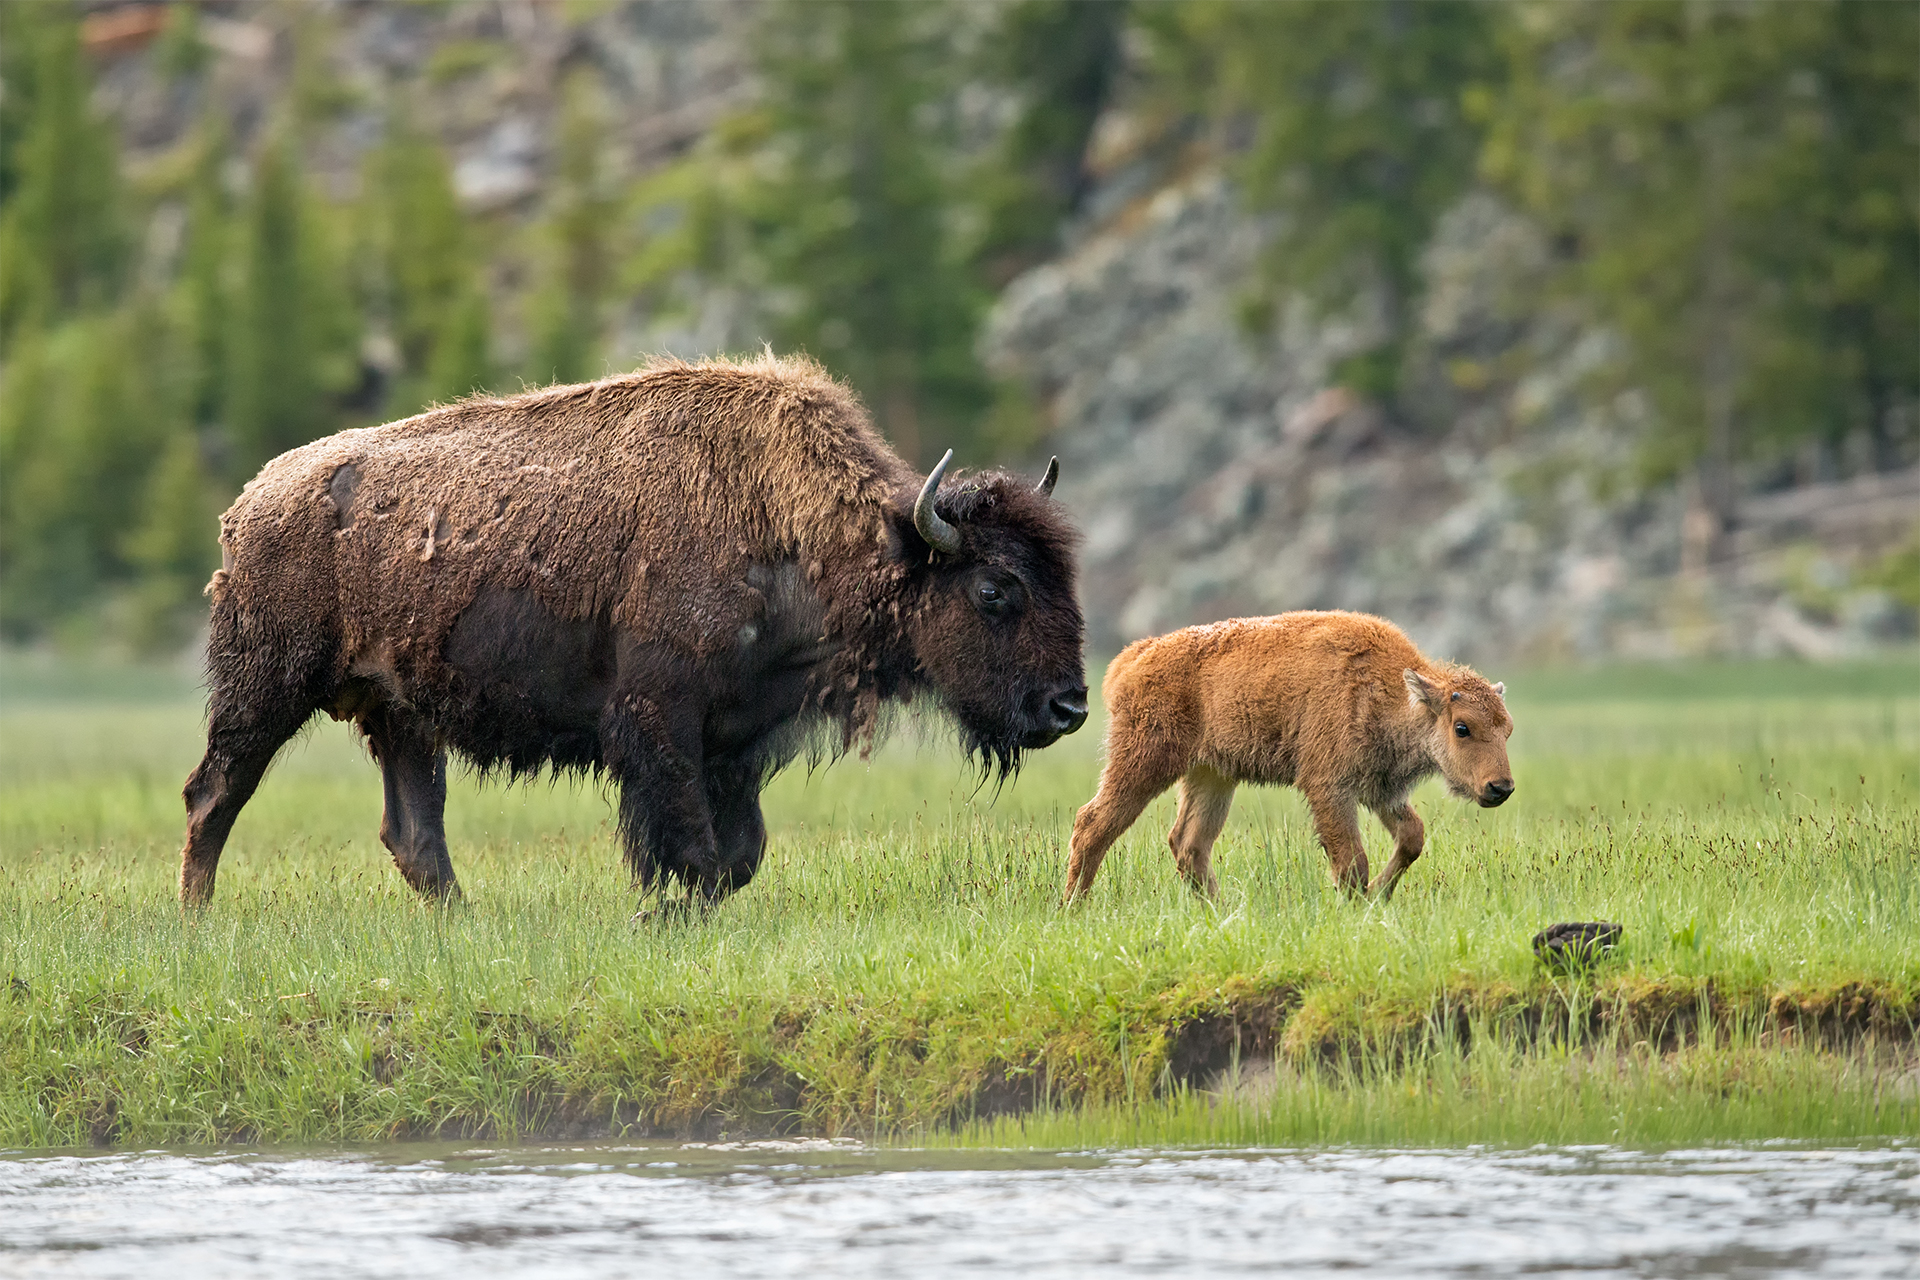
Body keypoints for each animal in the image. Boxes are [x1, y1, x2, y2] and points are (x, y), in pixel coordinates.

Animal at [181, 355, 1087, 906]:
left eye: (1065, 579)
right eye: (995, 590)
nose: (1069, 708)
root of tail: (248, 505)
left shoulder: (736, 740)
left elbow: (737, 858)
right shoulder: (659, 724)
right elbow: (694, 852)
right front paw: (654, 918)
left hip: (401, 717)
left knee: (415, 836)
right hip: (265, 692)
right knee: (213, 797)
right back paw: (198, 923)